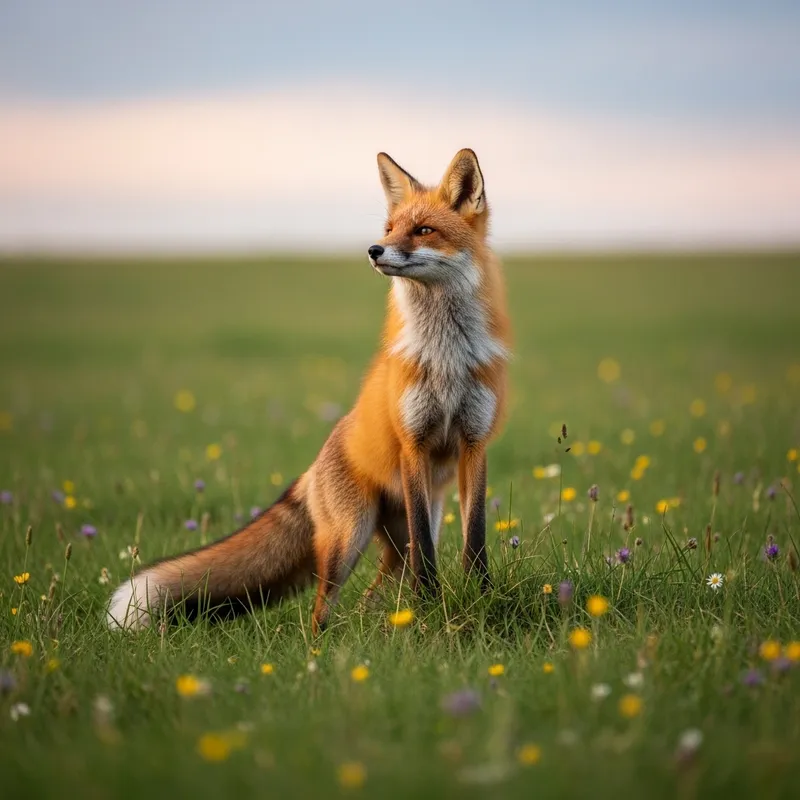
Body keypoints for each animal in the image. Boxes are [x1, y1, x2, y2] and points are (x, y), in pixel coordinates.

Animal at [107, 148, 512, 633]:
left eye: (424, 230)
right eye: (389, 230)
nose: (373, 250)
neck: (445, 358)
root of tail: (313, 467)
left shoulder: (474, 443)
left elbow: (477, 541)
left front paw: (479, 599)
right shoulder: (413, 445)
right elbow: (429, 562)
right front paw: (430, 606)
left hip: (405, 535)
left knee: (374, 593)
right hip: (350, 538)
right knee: (322, 606)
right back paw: (325, 643)